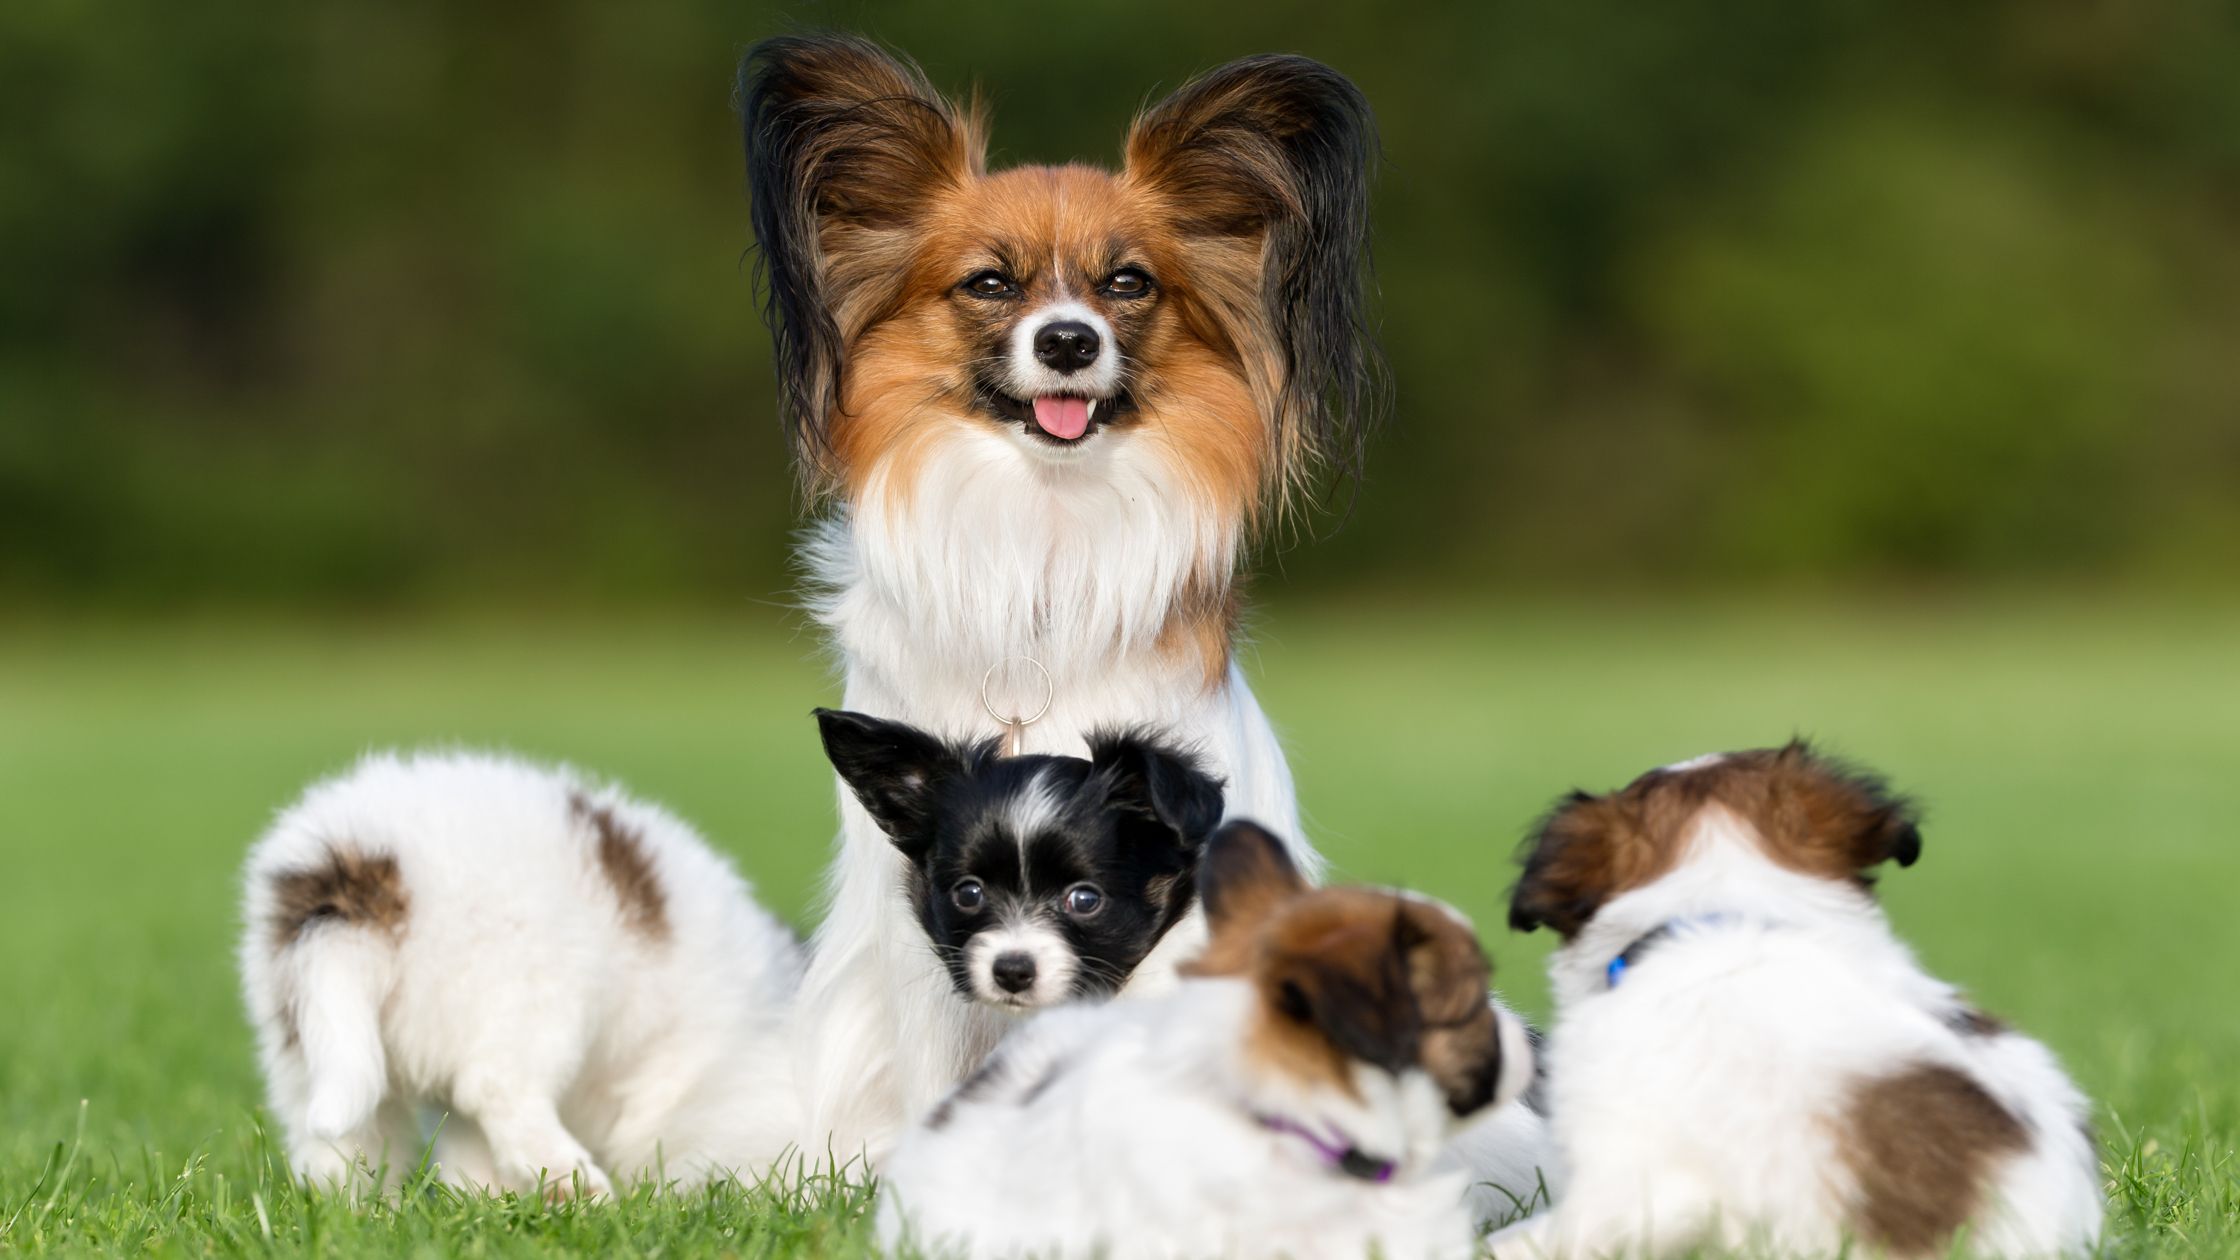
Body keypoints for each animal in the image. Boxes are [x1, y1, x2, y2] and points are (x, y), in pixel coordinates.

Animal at [236, 748, 810, 1192]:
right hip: (537, 993)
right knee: (496, 1089)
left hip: (306, 1036)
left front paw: (484, 1202)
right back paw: (577, 1187)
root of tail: (370, 867)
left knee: (342, 1147)